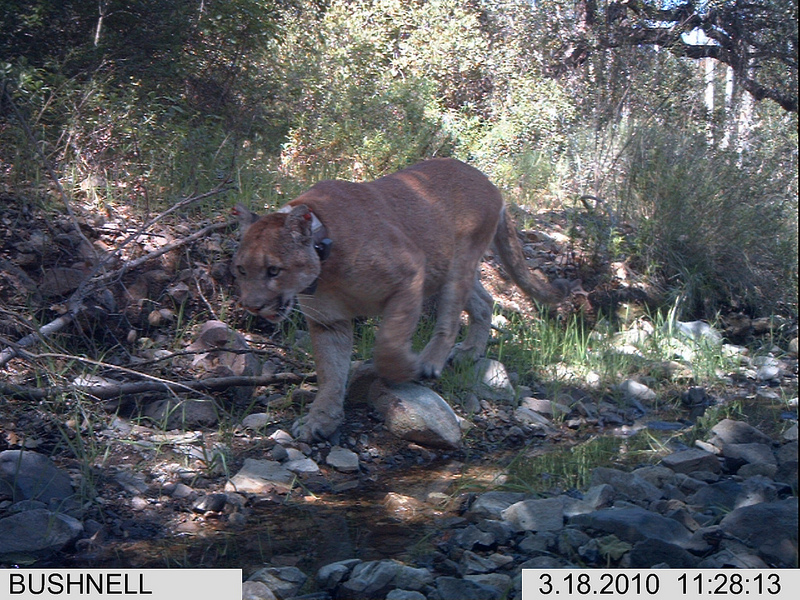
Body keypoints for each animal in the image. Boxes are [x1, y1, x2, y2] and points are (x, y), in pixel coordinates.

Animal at [231, 158, 576, 440]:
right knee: (484, 301)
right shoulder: (329, 322)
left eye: (274, 270)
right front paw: (320, 421)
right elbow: (331, 372)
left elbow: (388, 344)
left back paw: (431, 362)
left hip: (457, 264)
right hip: (449, 272)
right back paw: (470, 352)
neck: (325, 262)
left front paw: (406, 369)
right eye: (241, 270)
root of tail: (489, 182)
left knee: (450, 320)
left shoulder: (409, 277)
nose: (251, 305)